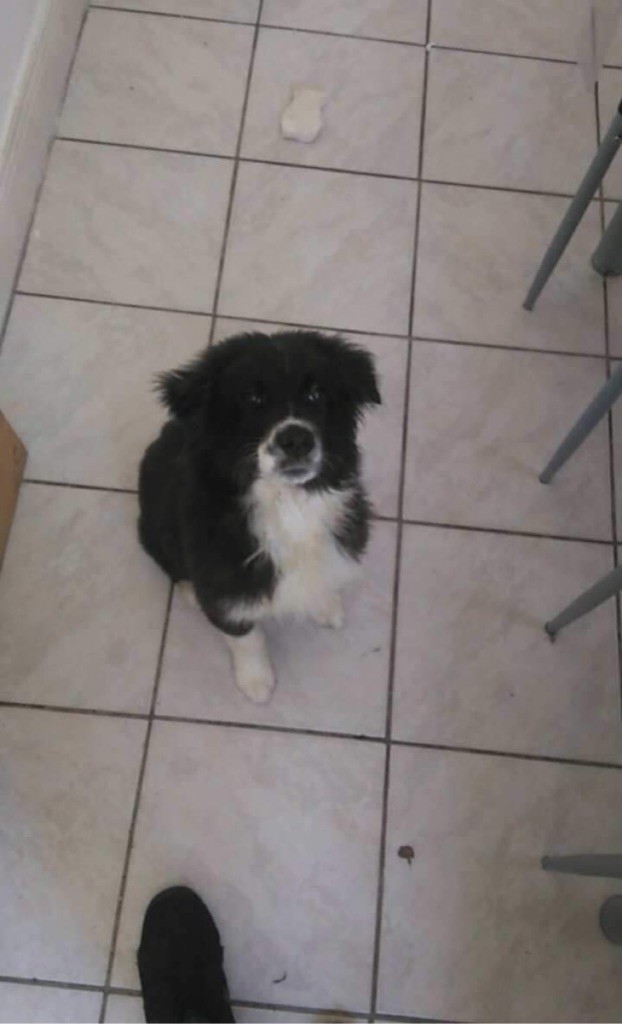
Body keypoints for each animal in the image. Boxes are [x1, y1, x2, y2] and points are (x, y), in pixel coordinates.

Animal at [138, 329, 381, 703]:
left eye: (316, 393)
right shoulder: (225, 590)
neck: (288, 504)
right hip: (152, 526)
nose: (296, 439)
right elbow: (245, 637)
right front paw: (256, 681)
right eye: (251, 398)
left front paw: (325, 604)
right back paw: (190, 592)